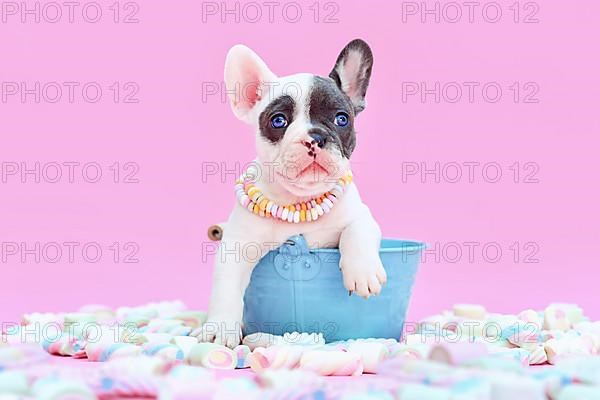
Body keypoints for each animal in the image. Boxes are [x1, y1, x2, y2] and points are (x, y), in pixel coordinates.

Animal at [193, 39, 390, 346]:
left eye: (342, 119)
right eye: (278, 121)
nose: (315, 137)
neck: (298, 201)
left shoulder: (360, 214)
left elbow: (357, 231)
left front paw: (363, 272)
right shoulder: (236, 245)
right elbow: (226, 287)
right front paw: (220, 328)